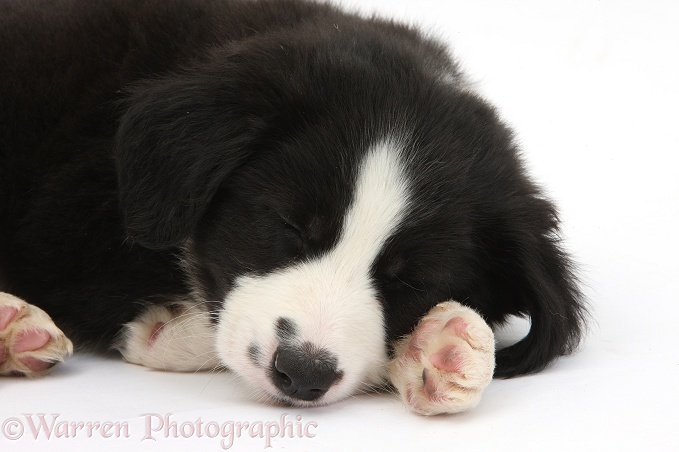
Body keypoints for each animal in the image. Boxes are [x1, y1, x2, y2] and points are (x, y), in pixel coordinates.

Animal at [0, 0, 584, 414]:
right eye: (288, 226)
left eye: (413, 281)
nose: (304, 374)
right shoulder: (68, 222)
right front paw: (167, 333)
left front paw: (437, 348)